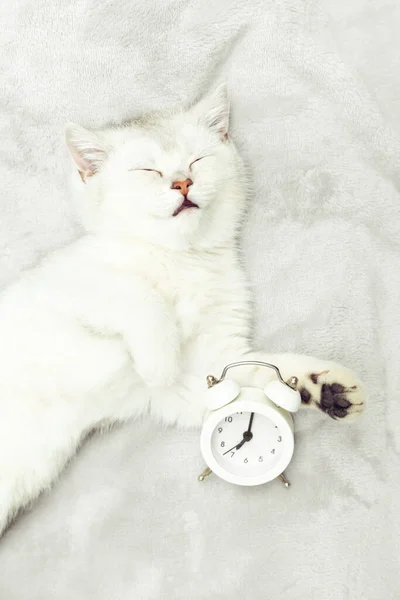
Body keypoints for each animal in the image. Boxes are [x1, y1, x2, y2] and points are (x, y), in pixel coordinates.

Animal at [0, 86, 366, 536]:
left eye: (197, 160)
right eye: (148, 170)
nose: (182, 182)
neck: (180, 259)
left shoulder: (202, 371)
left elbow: (258, 375)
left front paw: (326, 387)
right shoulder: (63, 284)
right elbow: (134, 290)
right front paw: (158, 357)